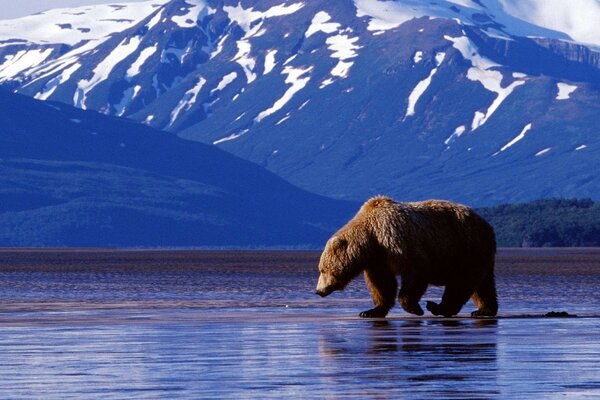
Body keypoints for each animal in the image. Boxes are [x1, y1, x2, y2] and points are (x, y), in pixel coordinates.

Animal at [314, 195, 496, 318]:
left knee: (462, 281)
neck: (371, 237)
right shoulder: (378, 259)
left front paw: (414, 307)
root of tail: (486, 224)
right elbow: (382, 284)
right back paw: (484, 310)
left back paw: (438, 307)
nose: (318, 291)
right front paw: (371, 311)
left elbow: (416, 270)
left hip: (464, 246)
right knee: (483, 284)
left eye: (322, 269)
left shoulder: (396, 241)